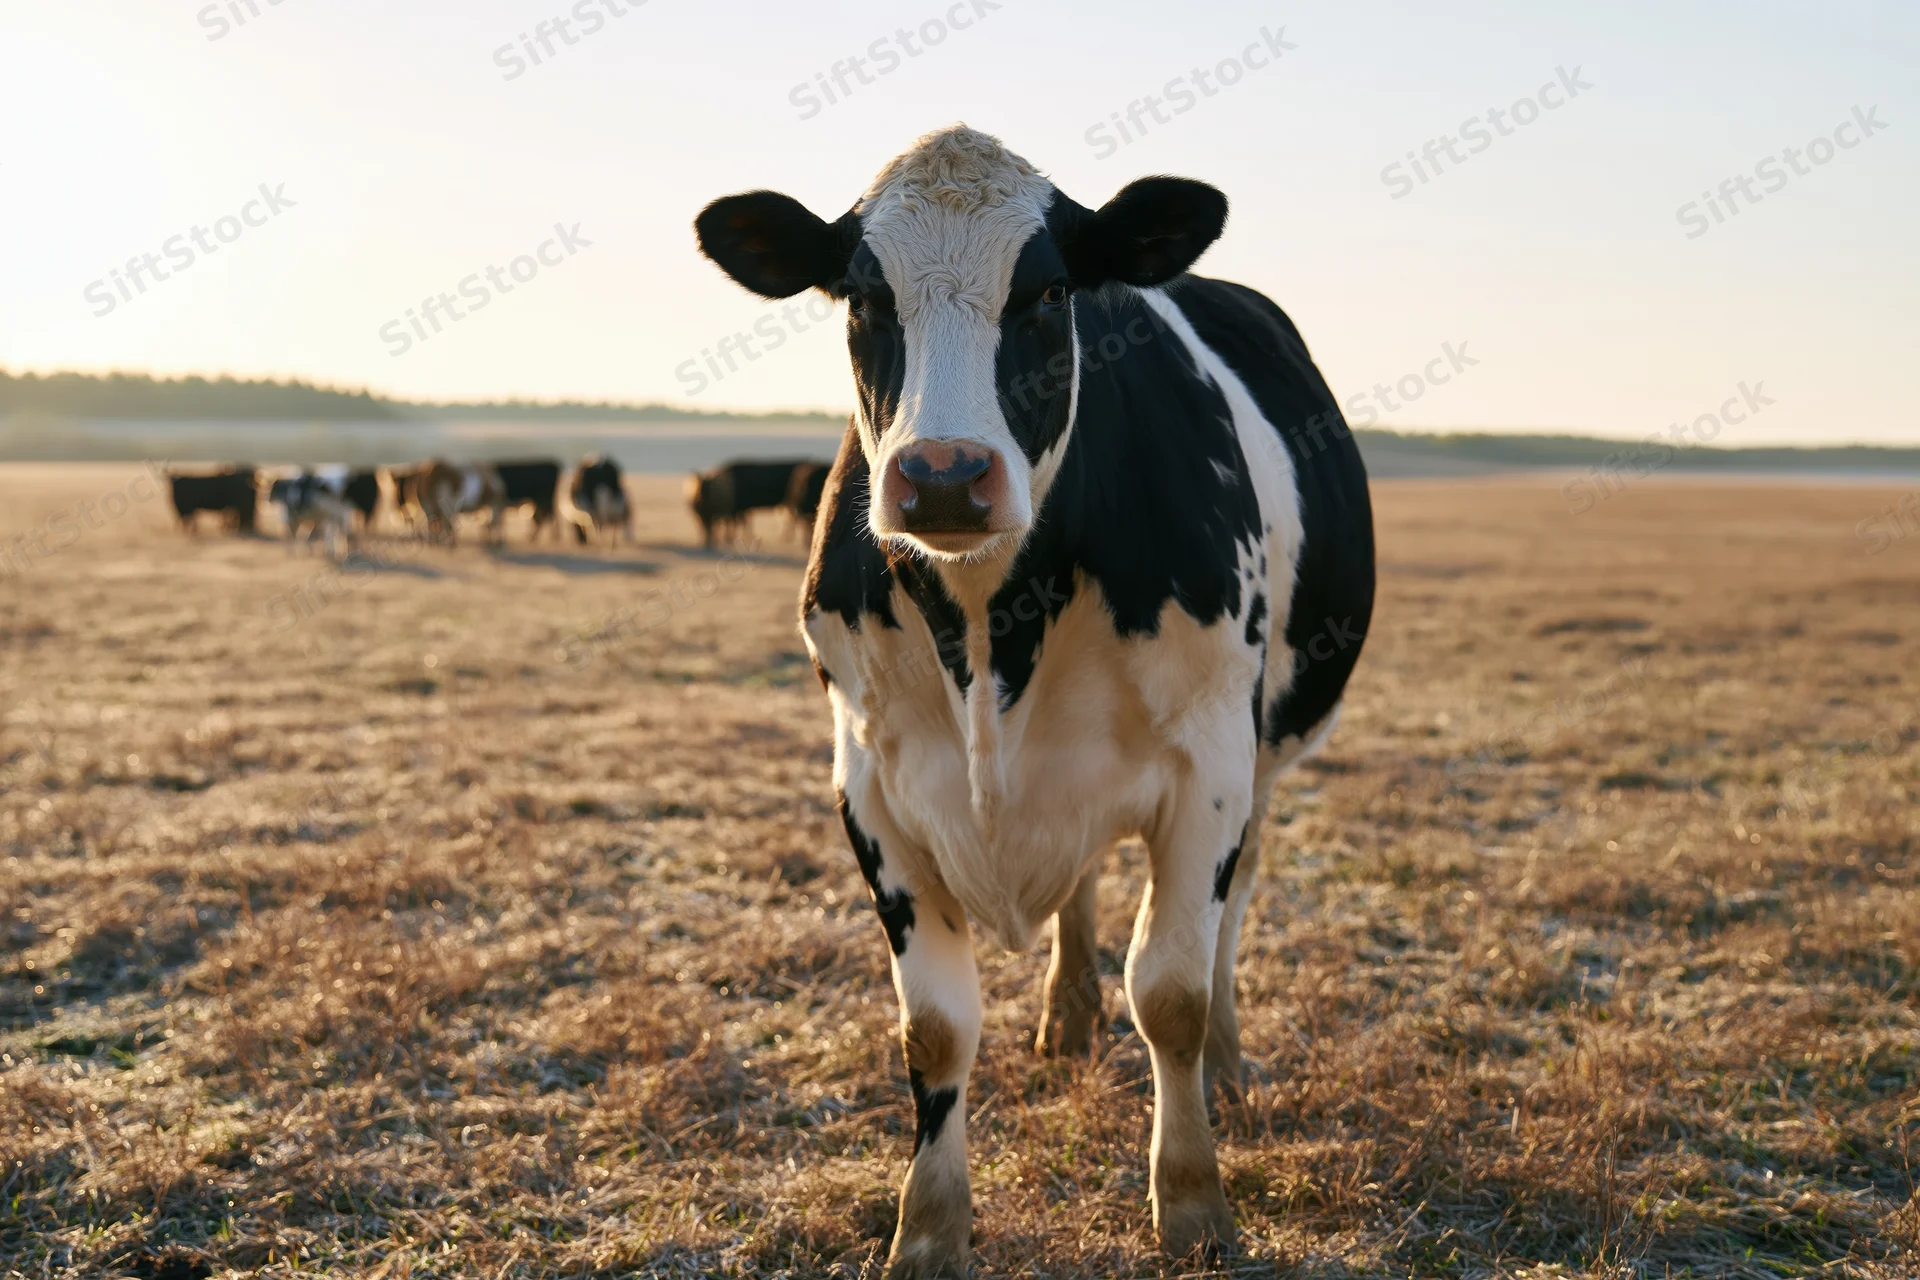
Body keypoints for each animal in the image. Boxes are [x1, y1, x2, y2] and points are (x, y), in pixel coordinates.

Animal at [696, 125, 1375, 1274]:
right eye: (862, 296)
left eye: (1050, 291)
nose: (942, 475)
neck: (986, 627)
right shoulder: (870, 781)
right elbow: (934, 1027)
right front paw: (927, 1229)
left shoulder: (1212, 764)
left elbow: (1172, 991)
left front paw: (1193, 1204)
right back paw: (1068, 1012)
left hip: (1265, 753)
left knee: (1230, 914)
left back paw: (1228, 1059)